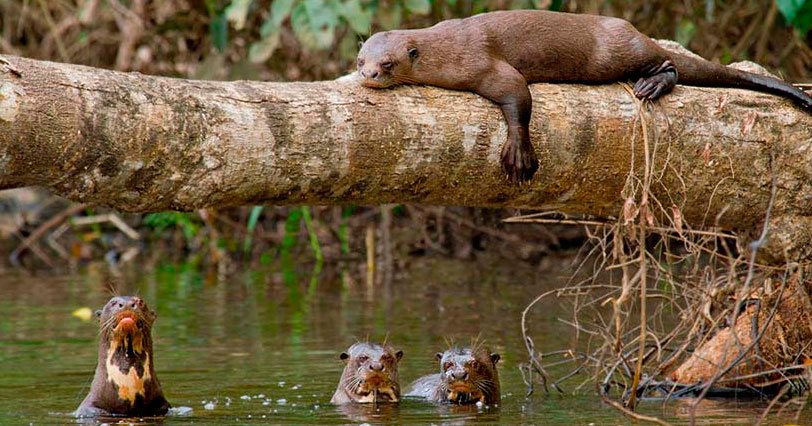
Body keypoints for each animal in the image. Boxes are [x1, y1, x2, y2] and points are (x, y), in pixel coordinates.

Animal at [357, 10, 812, 182]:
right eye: (361, 58)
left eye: (388, 64)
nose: (368, 75)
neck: (444, 48)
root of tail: (633, 31)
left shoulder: (482, 63)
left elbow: (518, 97)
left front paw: (520, 155)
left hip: (614, 53)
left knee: (670, 64)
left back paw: (652, 84)